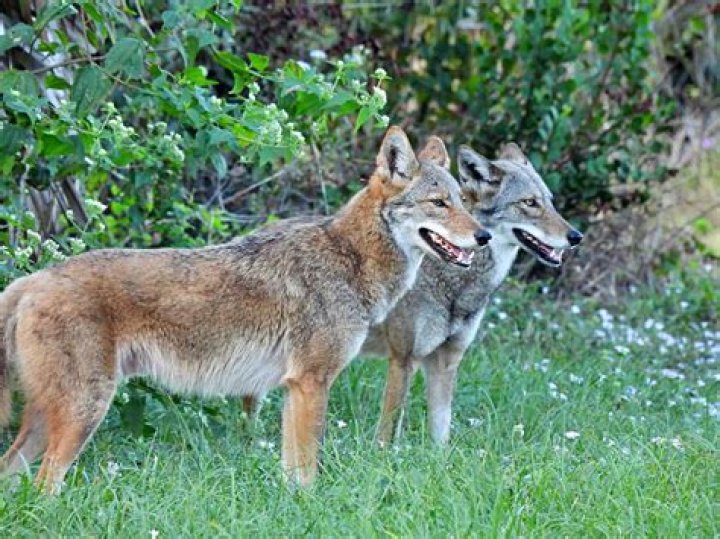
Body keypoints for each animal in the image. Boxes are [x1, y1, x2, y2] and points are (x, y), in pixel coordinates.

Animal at [0, 127, 491, 492]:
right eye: (439, 203)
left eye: (463, 202)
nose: (483, 236)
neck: (349, 258)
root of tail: (30, 281)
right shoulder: (312, 383)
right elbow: (309, 471)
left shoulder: (294, 389)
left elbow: (293, 473)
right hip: (84, 411)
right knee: (44, 485)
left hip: (50, 418)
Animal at [362, 142, 583, 444]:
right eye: (529, 203)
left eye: (550, 201)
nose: (576, 236)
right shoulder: (403, 359)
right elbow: (386, 433)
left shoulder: (446, 360)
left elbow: (441, 435)